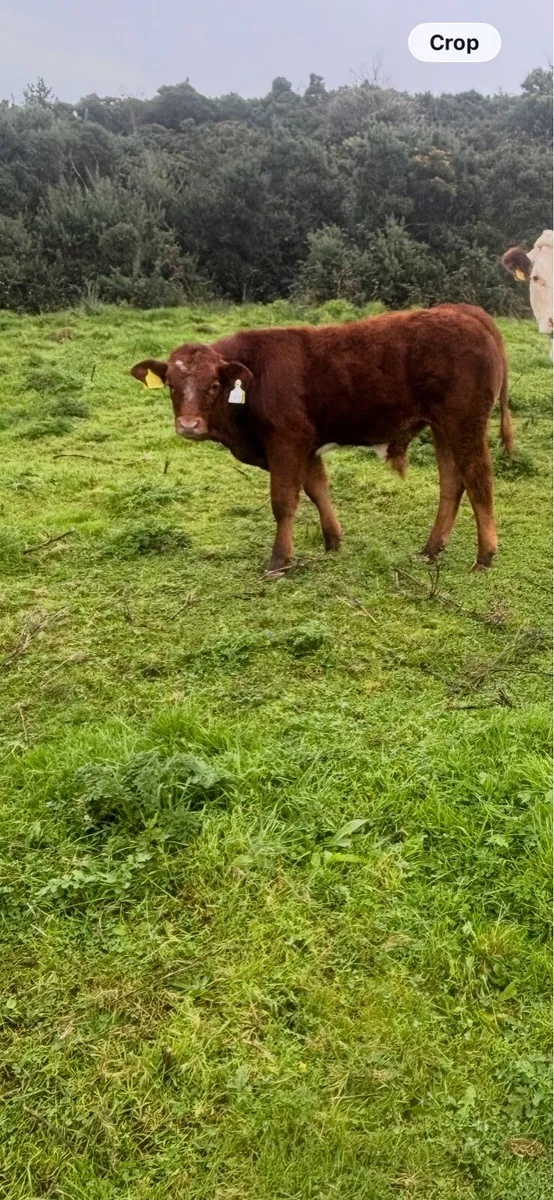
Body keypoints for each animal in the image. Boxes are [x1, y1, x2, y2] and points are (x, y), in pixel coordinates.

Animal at [131, 303, 512, 575]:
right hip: (441, 427)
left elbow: (284, 501)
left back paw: (484, 556)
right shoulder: (307, 446)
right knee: (452, 482)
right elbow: (317, 490)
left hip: (464, 422)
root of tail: (465, 312)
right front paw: (333, 541)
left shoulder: (287, 442)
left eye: (212, 385)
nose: (189, 425)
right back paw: (432, 549)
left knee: (478, 479)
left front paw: (279, 561)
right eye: (171, 385)